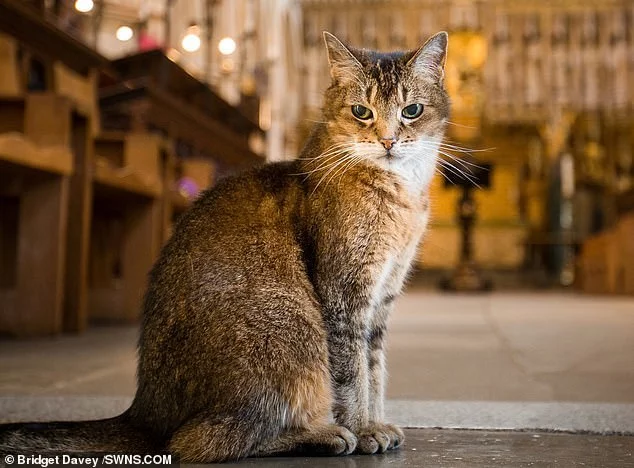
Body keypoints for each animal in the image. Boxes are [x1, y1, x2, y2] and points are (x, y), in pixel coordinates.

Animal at [0, 31, 450, 462]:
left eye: (412, 111)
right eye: (362, 112)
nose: (388, 140)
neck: (402, 197)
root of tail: (144, 412)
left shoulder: (382, 297)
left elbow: (374, 369)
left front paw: (376, 421)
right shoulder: (344, 297)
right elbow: (352, 374)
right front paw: (362, 428)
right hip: (290, 326)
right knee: (197, 442)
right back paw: (321, 435)